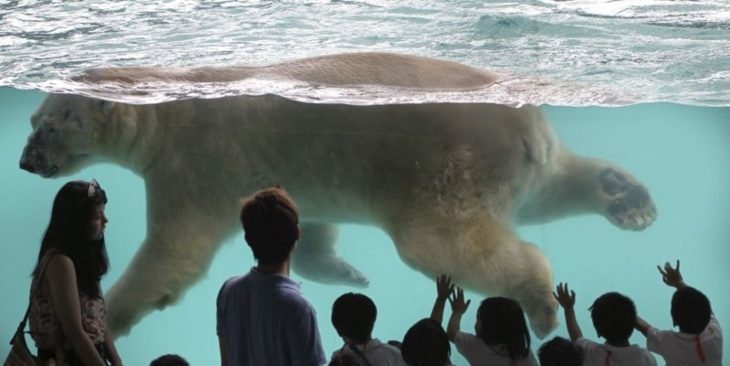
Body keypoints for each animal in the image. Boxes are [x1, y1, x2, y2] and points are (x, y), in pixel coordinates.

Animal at [18, 51, 656, 338]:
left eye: (47, 125)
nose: (24, 162)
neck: (165, 105)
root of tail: (524, 125)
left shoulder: (195, 166)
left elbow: (174, 253)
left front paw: (112, 313)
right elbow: (307, 229)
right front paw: (347, 271)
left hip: (443, 168)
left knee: (442, 242)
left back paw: (542, 305)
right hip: (515, 163)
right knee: (551, 186)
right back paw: (628, 199)